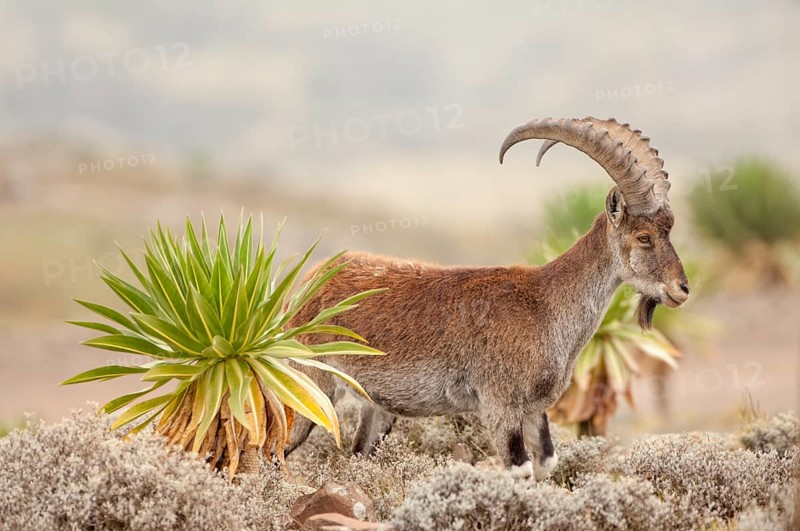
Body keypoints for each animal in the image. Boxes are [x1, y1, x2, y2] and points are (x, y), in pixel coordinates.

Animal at [285, 117, 689, 479]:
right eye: (643, 237)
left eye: (669, 228)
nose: (681, 289)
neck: (546, 305)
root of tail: (310, 281)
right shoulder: (499, 404)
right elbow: (519, 469)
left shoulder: (534, 411)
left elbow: (546, 464)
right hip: (309, 386)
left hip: (377, 410)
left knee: (355, 455)